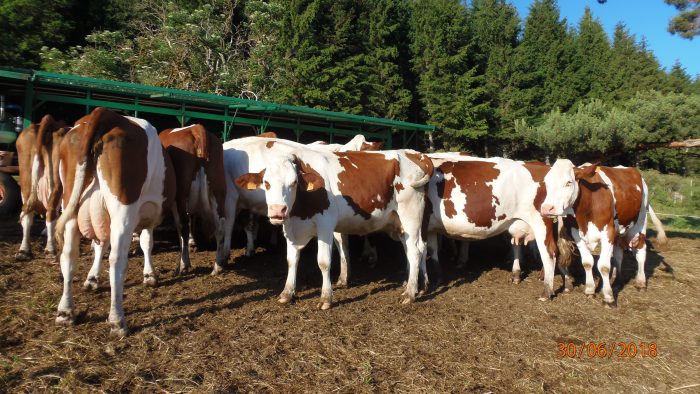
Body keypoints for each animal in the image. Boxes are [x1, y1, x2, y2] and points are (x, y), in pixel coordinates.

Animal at [14, 114, 69, 262]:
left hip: (26, 180)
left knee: (27, 213)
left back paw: (24, 250)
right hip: (56, 182)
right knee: (50, 212)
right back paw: (51, 249)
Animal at [54, 107, 174, 336]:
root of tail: (106, 113)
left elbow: (100, 245)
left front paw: (92, 278)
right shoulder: (147, 217)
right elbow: (147, 243)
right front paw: (150, 275)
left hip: (70, 203)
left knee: (69, 255)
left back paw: (65, 311)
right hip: (123, 208)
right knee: (117, 261)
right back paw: (117, 320)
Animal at [224, 138, 432, 308]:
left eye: (293, 182)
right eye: (266, 183)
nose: (277, 210)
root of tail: (412, 153)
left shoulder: (325, 225)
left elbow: (323, 261)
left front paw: (326, 298)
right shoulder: (291, 227)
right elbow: (291, 259)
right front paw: (287, 293)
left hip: (411, 214)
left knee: (415, 251)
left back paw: (410, 293)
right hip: (400, 223)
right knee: (414, 248)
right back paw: (418, 285)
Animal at [422, 154, 556, 298]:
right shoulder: (430, 228)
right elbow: (431, 250)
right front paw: (437, 278)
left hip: (541, 223)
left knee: (549, 252)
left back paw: (546, 291)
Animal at [540, 159, 668, 306]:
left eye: (568, 182)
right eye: (546, 182)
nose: (547, 208)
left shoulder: (608, 231)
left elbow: (604, 266)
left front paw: (608, 297)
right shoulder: (577, 233)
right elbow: (587, 262)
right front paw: (590, 290)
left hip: (640, 223)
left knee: (641, 250)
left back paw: (641, 282)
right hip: (619, 231)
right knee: (618, 253)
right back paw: (617, 280)